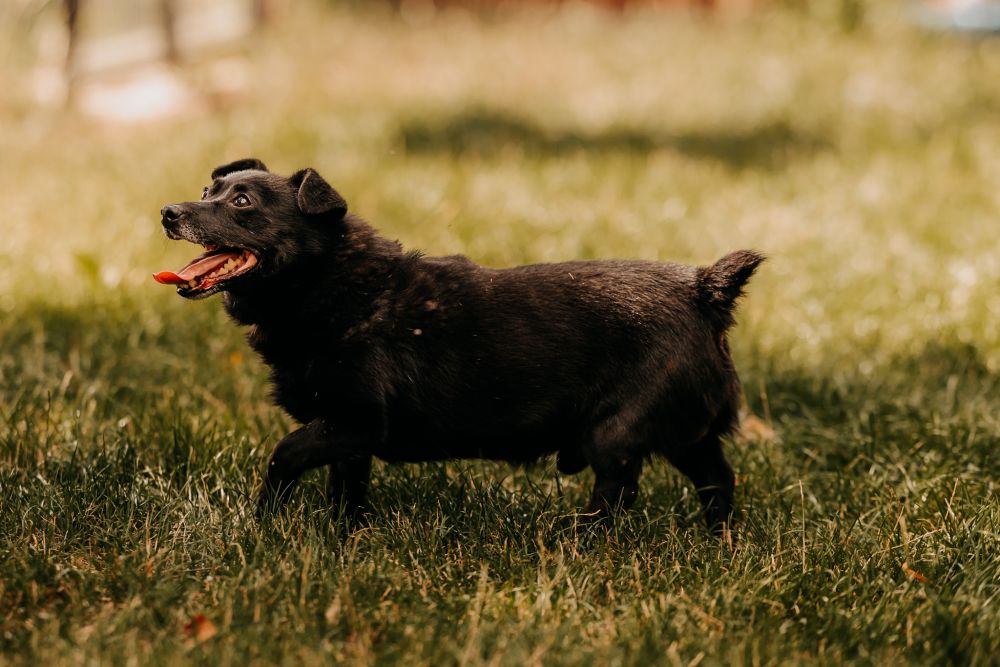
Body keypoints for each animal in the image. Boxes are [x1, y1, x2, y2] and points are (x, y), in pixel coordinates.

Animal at [157, 159, 763, 534]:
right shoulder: (344, 438)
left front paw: (266, 519)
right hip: (687, 435)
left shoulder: (354, 421)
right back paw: (717, 542)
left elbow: (283, 454)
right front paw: (340, 543)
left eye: (241, 201)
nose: (168, 212)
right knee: (718, 479)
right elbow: (344, 494)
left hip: (615, 433)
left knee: (618, 491)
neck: (331, 282)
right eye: (207, 191)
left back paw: (579, 540)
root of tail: (705, 288)